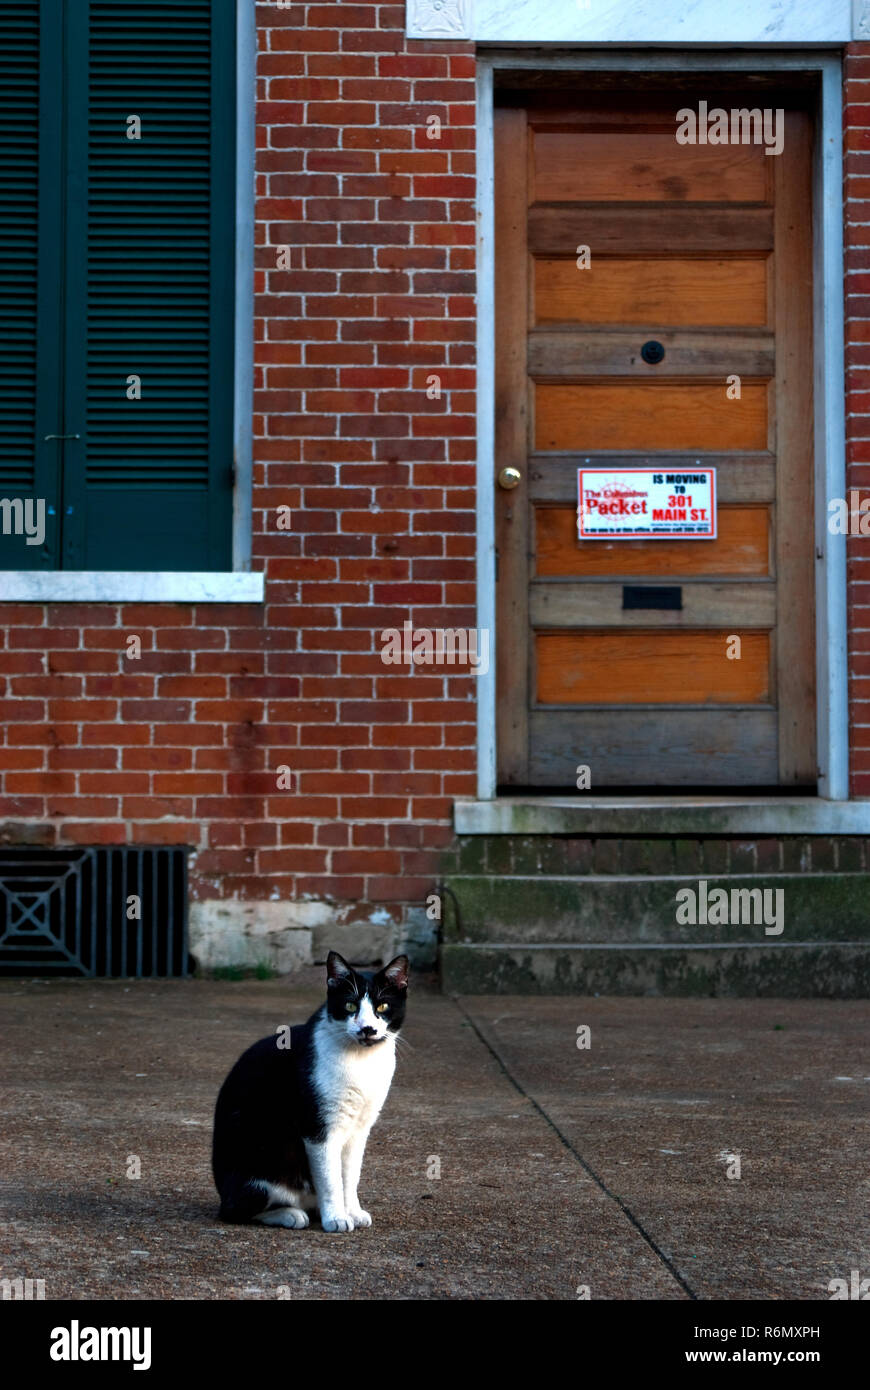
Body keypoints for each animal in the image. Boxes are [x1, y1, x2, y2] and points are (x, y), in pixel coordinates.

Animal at [209, 950, 405, 1234]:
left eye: (382, 1007)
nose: (367, 1029)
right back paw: (291, 1214)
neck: (361, 1061)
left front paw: (352, 1211)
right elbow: (331, 1179)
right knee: (234, 1211)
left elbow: (350, 1176)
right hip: (258, 1171)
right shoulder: (318, 1127)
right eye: (350, 1006)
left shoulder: (360, 1129)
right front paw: (336, 1218)